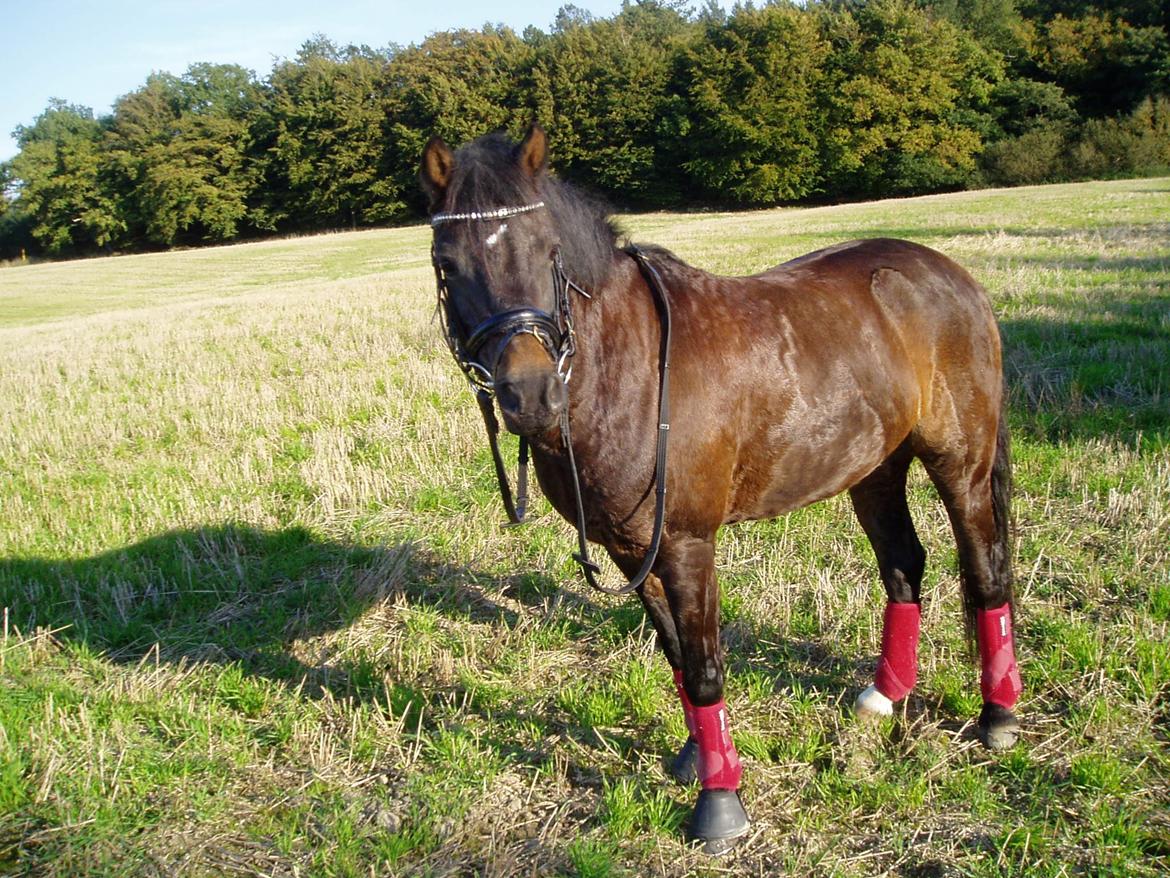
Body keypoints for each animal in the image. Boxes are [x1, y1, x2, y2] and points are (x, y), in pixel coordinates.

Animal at [420, 125, 1023, 854]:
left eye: (548, 251)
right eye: (448, 265)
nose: (531, 395)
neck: (631, 368)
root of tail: (951, 276)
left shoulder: (685, 544)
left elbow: (706, 666)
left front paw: (721, 805)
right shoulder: (632, 548)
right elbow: (677, 654)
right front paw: (697, 760)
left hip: (962, 462)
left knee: (985, 570)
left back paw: (999, 715)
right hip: (874, 468)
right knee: (904, 566)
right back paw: (885, 696)